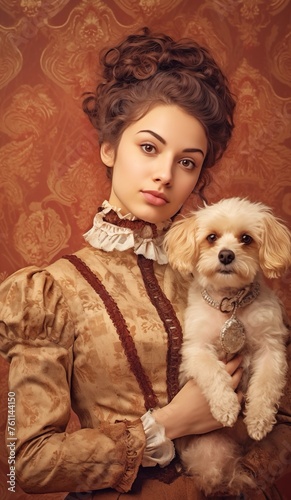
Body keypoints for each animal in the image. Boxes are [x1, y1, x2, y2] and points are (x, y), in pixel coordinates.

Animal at [164, 197, 291, 494]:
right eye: (211, 237)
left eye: (246, 239)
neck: (231, 304)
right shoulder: (195, 349)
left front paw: (258, 419)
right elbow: (213, 372)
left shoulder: (271, 348)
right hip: (210, 453)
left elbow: (266, 385)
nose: (226, 255)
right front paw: (226, 407)